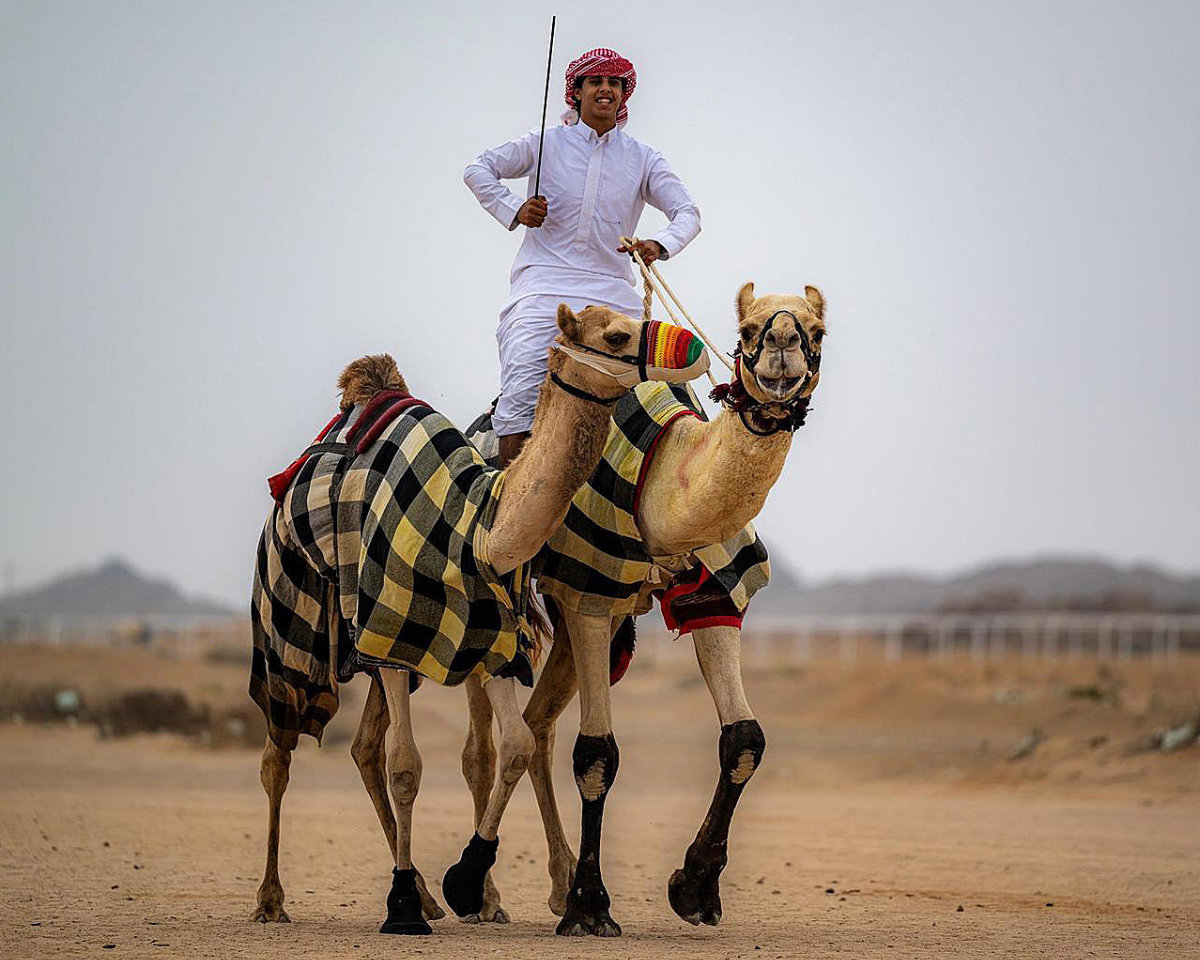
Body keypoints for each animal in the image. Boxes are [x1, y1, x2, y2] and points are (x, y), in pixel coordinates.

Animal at [248, 305, 709, 934]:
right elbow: (409, 765)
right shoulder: (391, 631)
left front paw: (465, 885)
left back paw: (427, 894)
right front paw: (402, 907)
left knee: (363, 747)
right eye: (615, 334)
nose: (693, 351)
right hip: (289, 617)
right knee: (280, 748)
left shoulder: (488, 638)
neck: (475, 528)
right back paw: (272, 900)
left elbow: (510, 746)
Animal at [461, 281, 827, 936]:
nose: (782, 345)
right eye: (748, 327)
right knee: (485, 743)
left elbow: (745, 738)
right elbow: (597, 752)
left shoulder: (713, 591)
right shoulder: (590, 591)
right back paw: (484, 897)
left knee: (537, 727)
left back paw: (552, 885)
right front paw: (591, 907)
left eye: (817, 329)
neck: (660, 476)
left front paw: (695, 888)